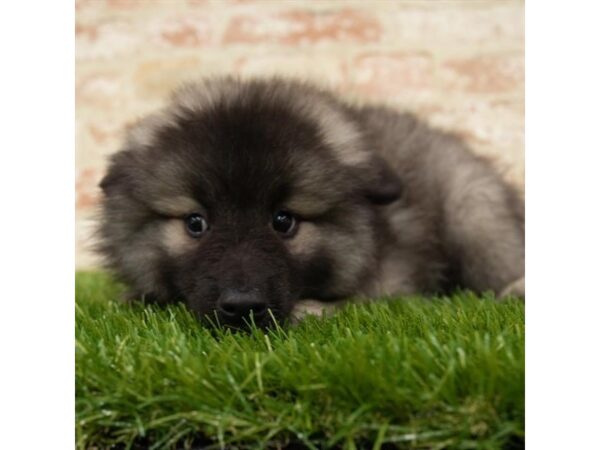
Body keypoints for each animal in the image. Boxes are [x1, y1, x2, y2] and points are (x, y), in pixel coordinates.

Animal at [96, 77, 524, 328]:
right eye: (195, 223)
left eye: (284, 221)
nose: (242, 307)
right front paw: (136, 299)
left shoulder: (395, 279)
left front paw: (313, 309)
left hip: (474, 212)